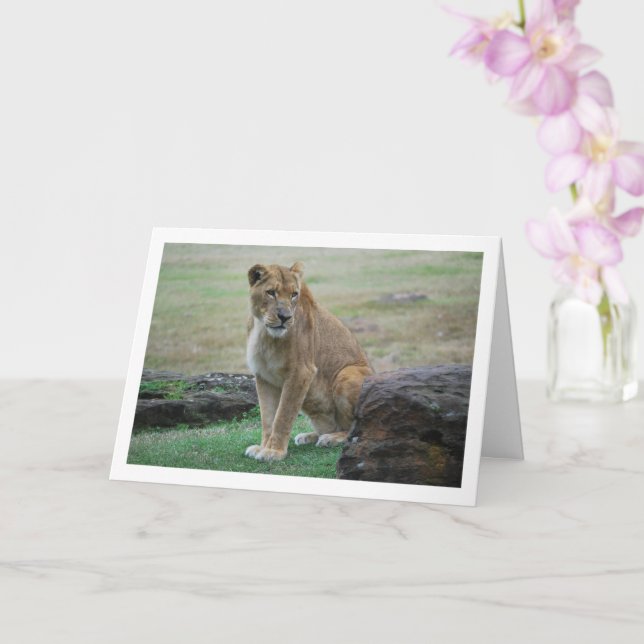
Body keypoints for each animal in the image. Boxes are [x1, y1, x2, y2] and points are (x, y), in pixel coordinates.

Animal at [244, 261, 373, 462]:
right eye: (271, 292)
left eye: (293, 294)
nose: (285, 317)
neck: (264, 332)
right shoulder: (263, 376)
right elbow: (267, 418)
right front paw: (262, 447)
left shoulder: (301, 372)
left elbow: (283, 416)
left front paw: (274, 452)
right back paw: (309, 436)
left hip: (346, 374)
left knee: (354, 430)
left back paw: (329, 439)